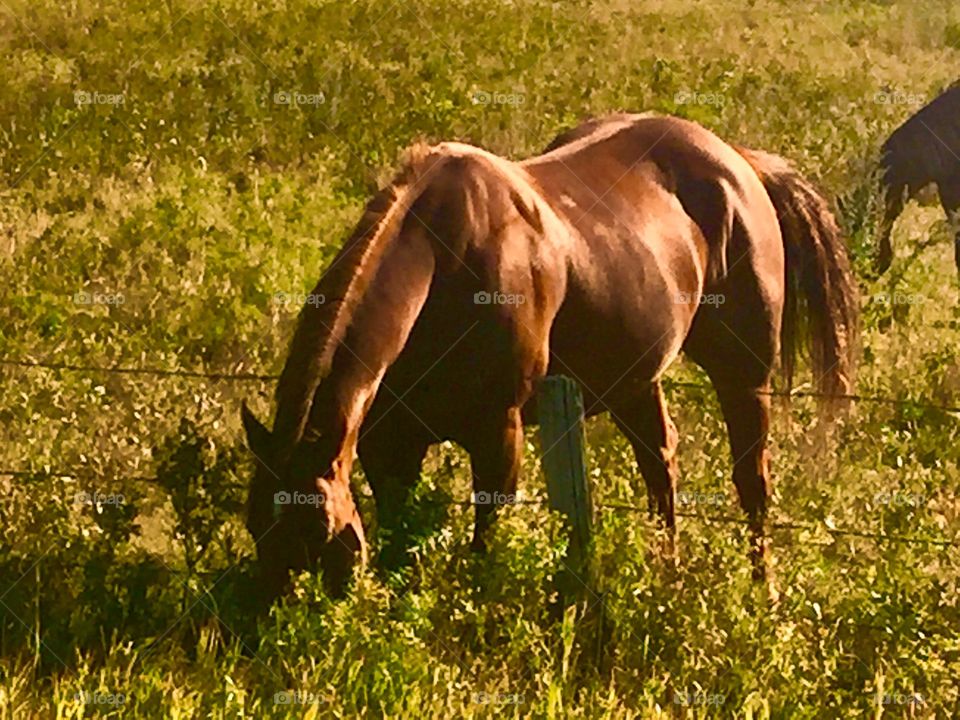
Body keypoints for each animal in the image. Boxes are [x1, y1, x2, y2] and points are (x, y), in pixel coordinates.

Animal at [241, 112, 858, 602]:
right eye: (254, 523)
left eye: (318, 531)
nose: (265, 623)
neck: (443, 264)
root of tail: (739, 162)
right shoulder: (388, 443)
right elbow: (397, 535)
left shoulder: (498, 432)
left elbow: (486, 538)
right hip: (635, 378)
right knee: (660, 462)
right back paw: (666, 575)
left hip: (744, 374)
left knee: (751, 481)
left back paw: (762, 592)